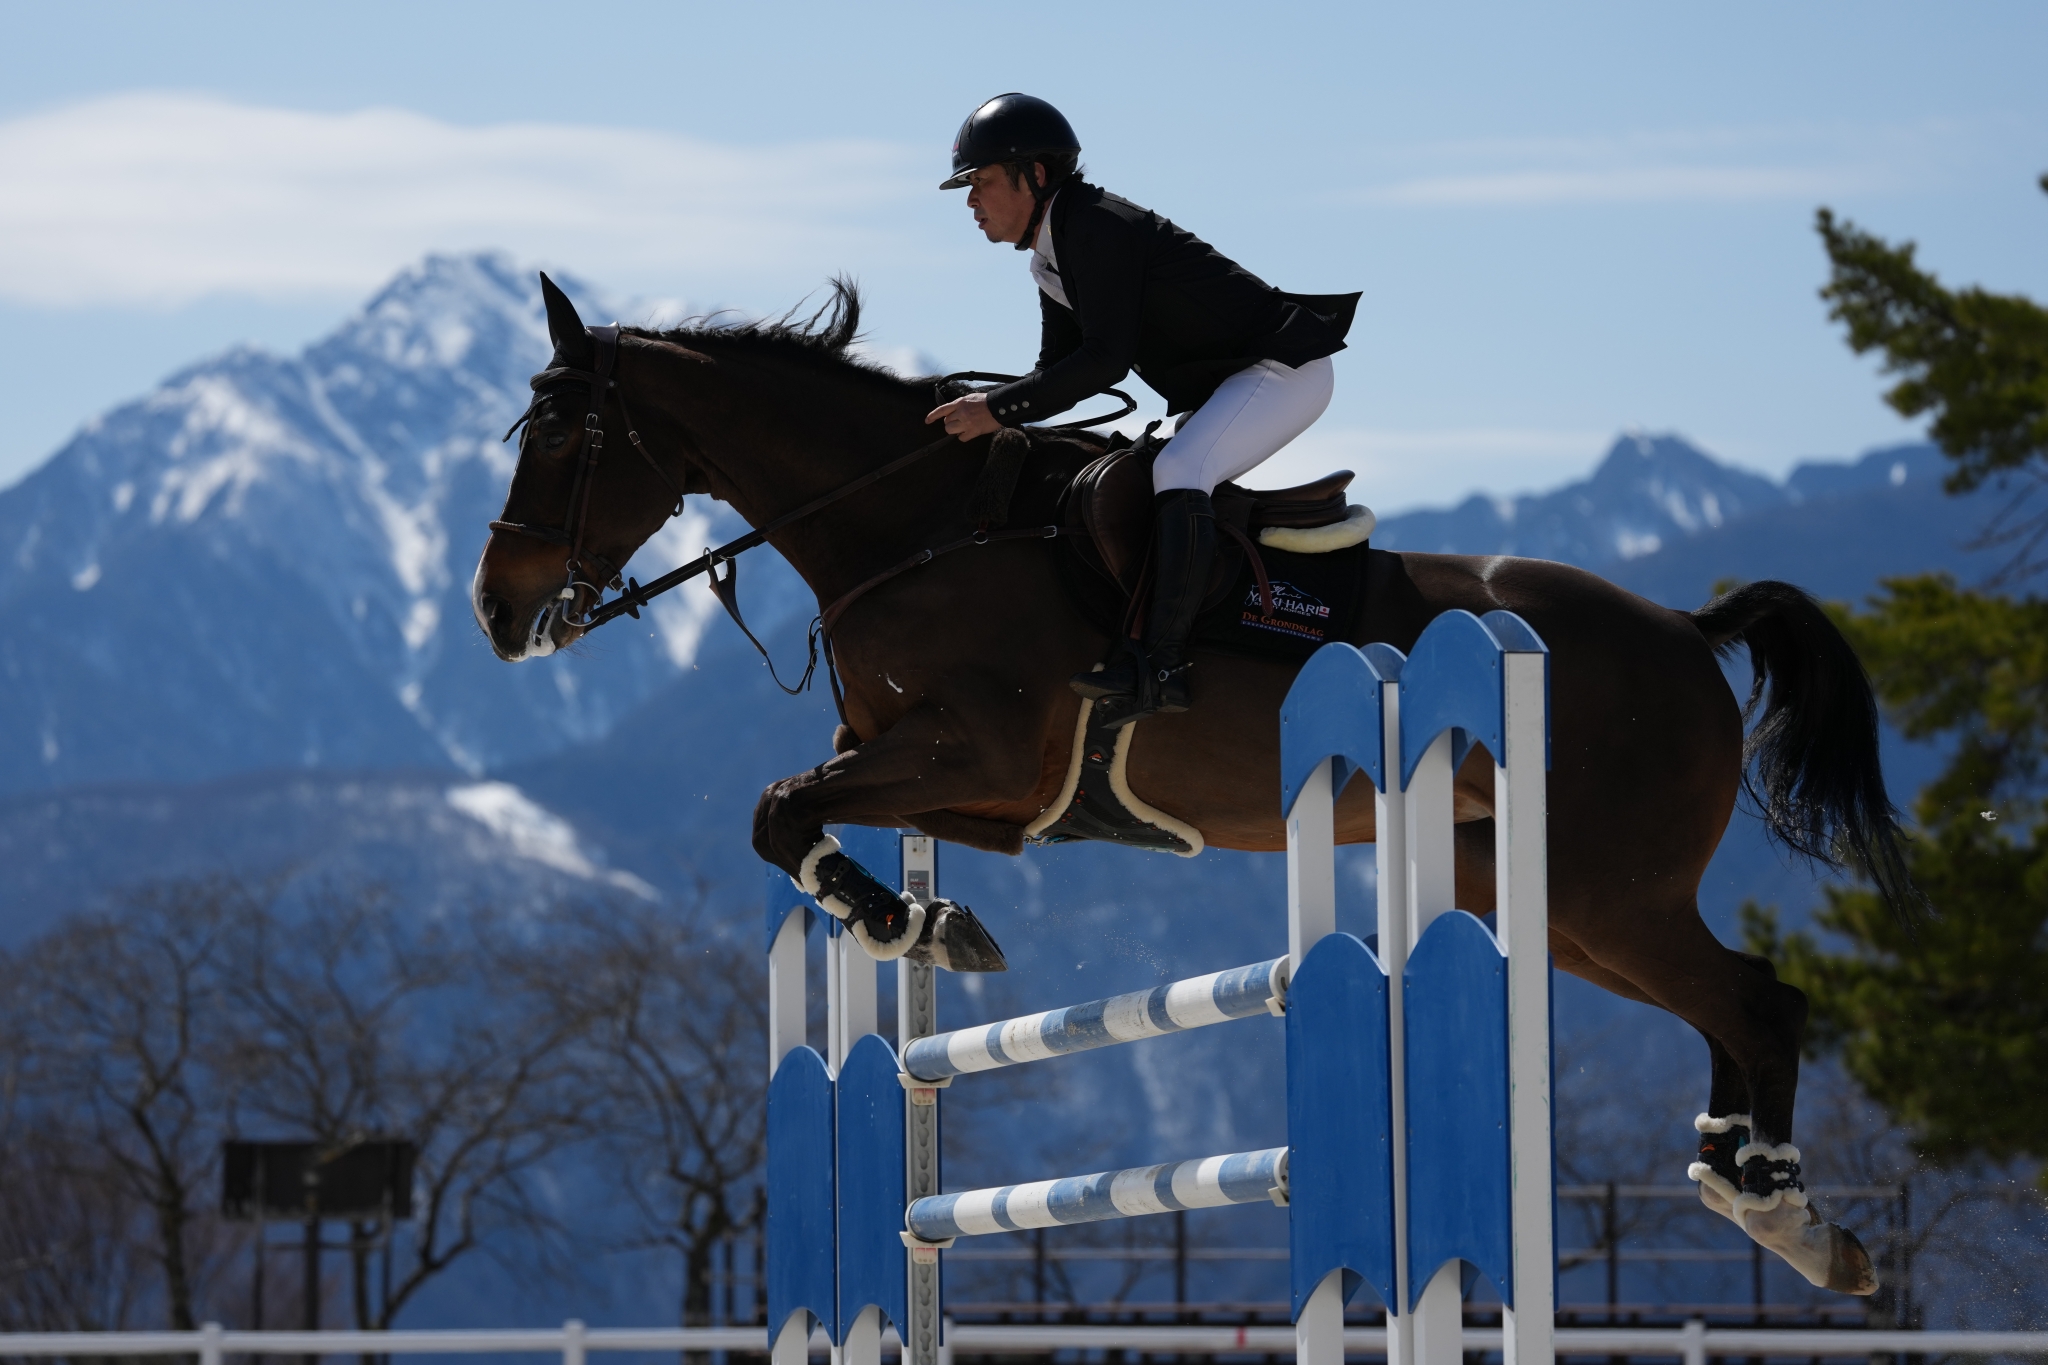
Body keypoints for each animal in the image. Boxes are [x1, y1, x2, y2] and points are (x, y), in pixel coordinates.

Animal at [473, 275, 1910, 1297]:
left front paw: (897, 917)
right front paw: (925, 919)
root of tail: (1682, 627)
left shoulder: (980, 755)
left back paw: (1783, 1212)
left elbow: (778, 803)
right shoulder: (966, 790)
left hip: (1609, 890)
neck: (916, 525)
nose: (495, 611)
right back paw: (1761, 1193)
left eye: (561, 437)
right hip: (1549, 900)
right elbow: (810, 813)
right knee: (1727, 1007)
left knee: (1759, 1001)